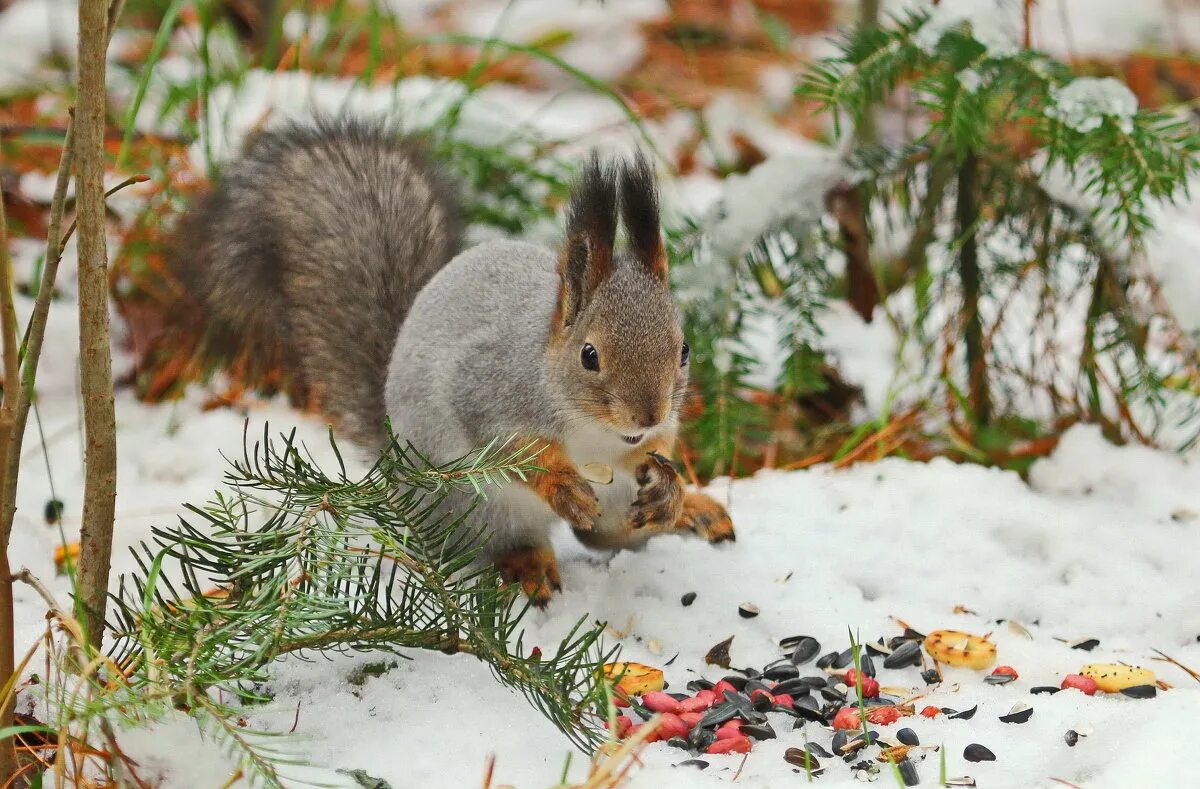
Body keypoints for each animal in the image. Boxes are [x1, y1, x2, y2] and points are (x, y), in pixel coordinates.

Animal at [169, 116, 729, 599]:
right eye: (589, 355)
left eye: (684, 349)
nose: (647, 415)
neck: (593, 431)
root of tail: (397, 474)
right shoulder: (483, 386)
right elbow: (506, 447)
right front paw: (559, 483)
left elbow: (654, 452)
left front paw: (669, 484)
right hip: (476, 508)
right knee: (513, 540)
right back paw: (529, 561)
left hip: (612, 504)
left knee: (608, 537)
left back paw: (690, 511)